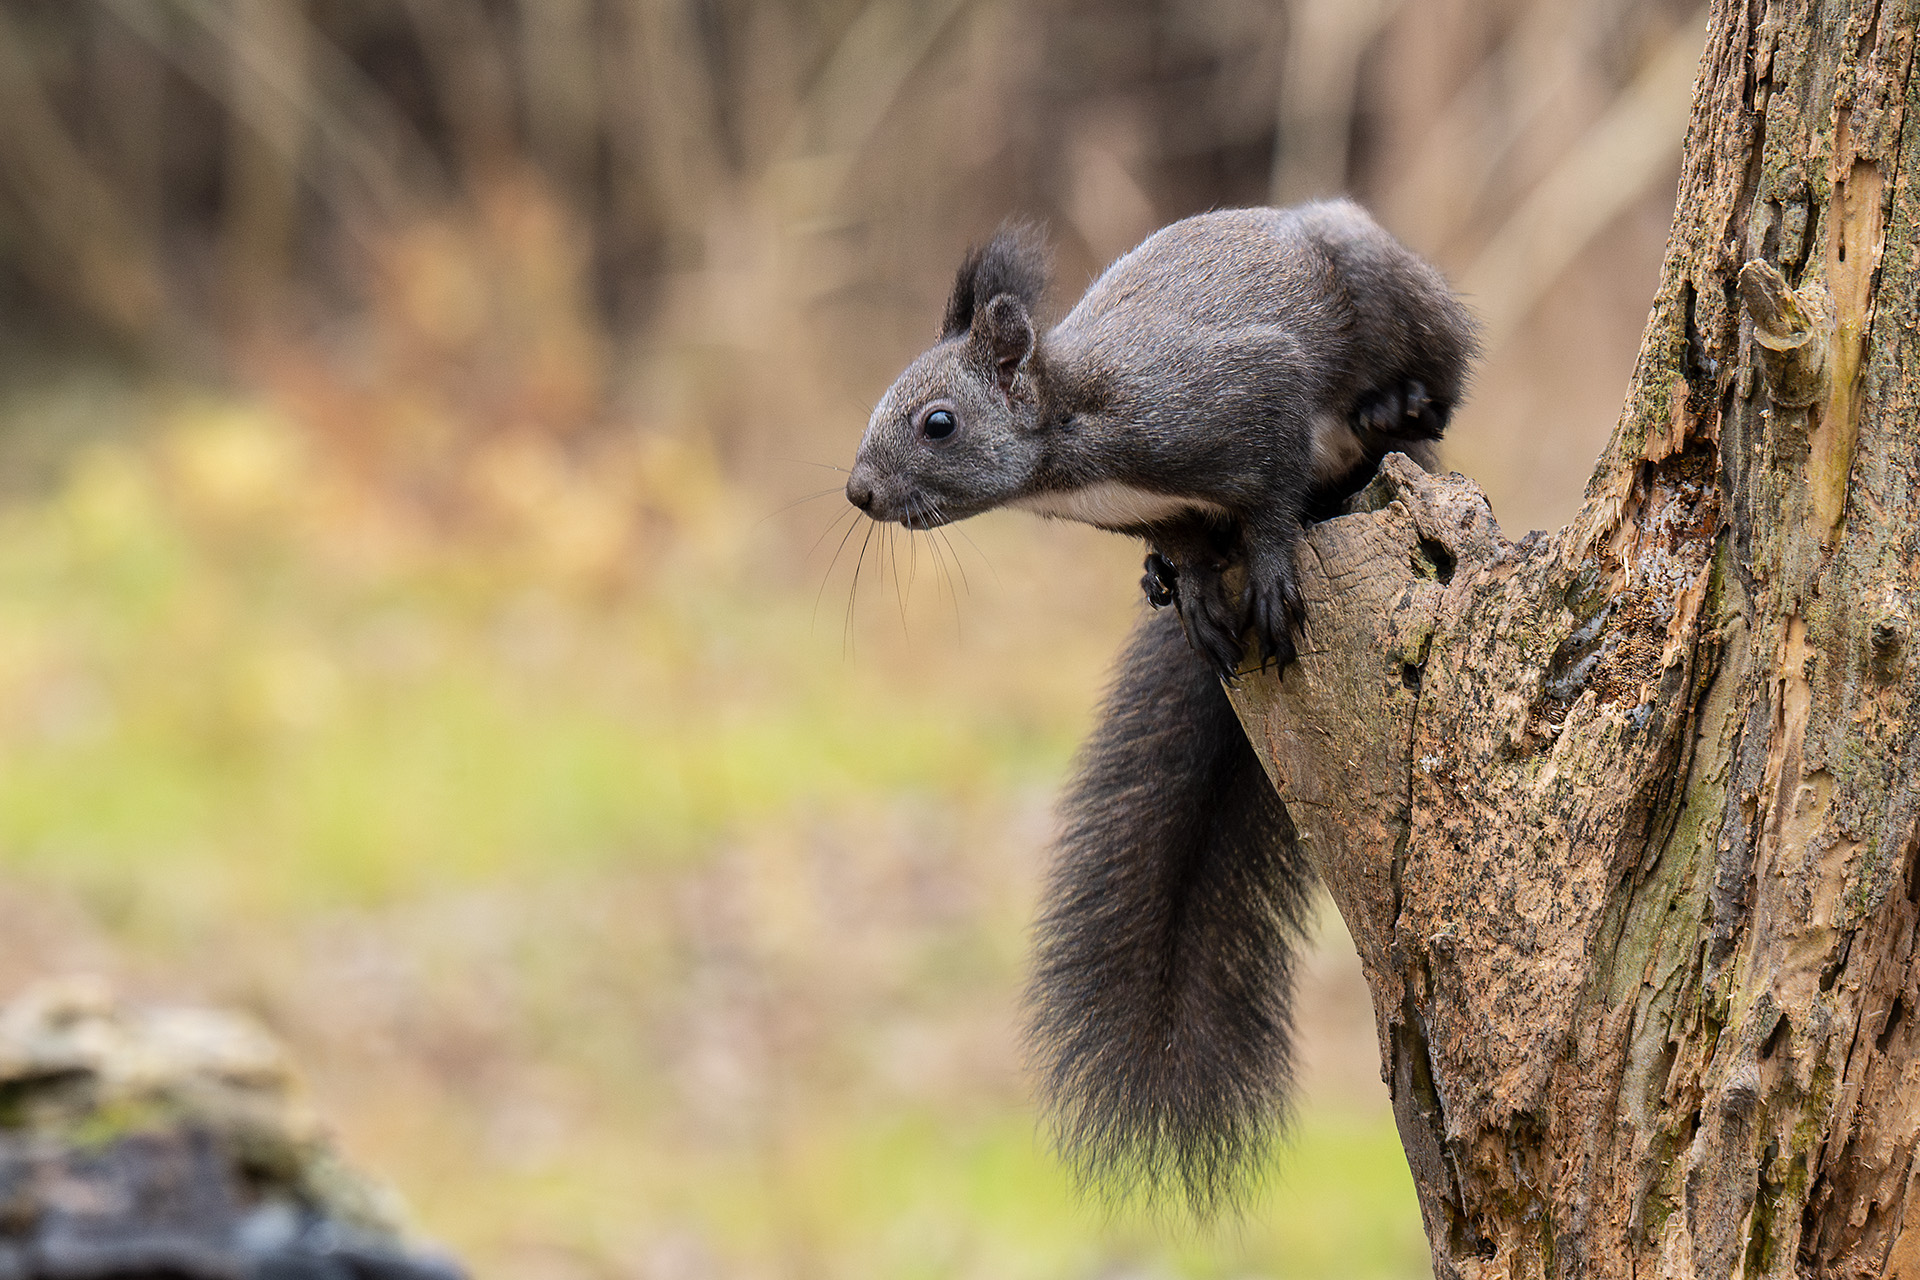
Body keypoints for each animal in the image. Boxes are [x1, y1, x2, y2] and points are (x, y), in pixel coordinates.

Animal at [844, 200, 1477, 1214]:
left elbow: (1270, 502)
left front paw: (1267, 576)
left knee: (1434, 385)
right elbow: (1187, 547)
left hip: (1387, 296)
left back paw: (1399, 408)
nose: (858, 491)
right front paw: (1192, 596)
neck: (1071, 446)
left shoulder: (1238, 398)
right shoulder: (1161, 513)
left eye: (938, 422)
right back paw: (1163, 588)